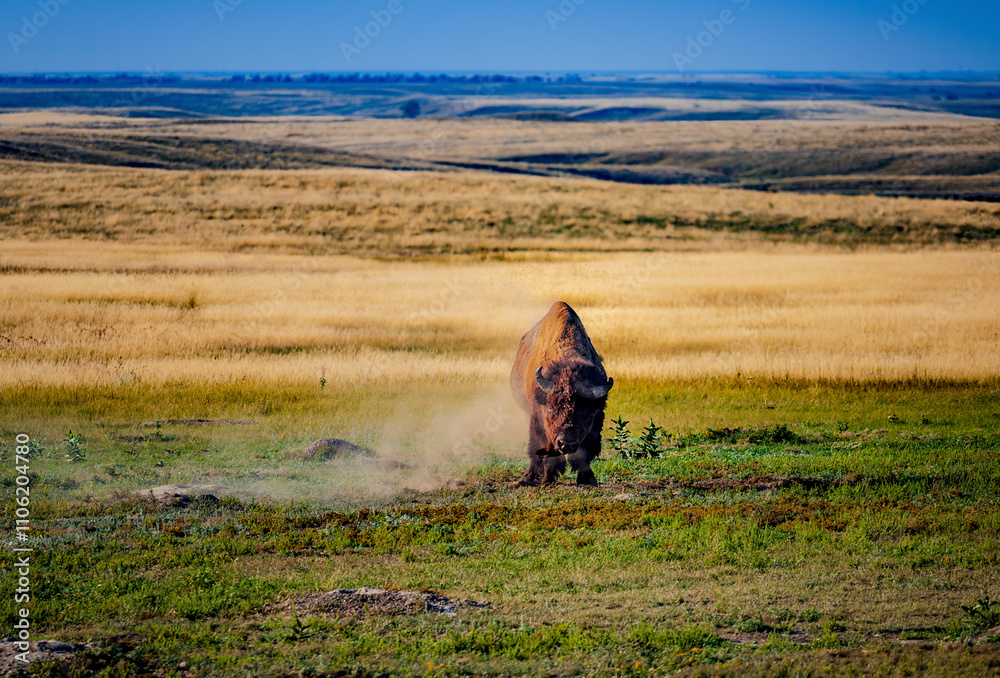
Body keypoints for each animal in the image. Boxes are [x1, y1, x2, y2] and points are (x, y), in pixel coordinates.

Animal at [510, 301, 613, 485]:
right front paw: (548, 480)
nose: (567, 444)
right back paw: (529, 476)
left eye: (588, 412)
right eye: (550, 408)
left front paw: (587, 480)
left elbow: (586, 453)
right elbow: (545, 450)